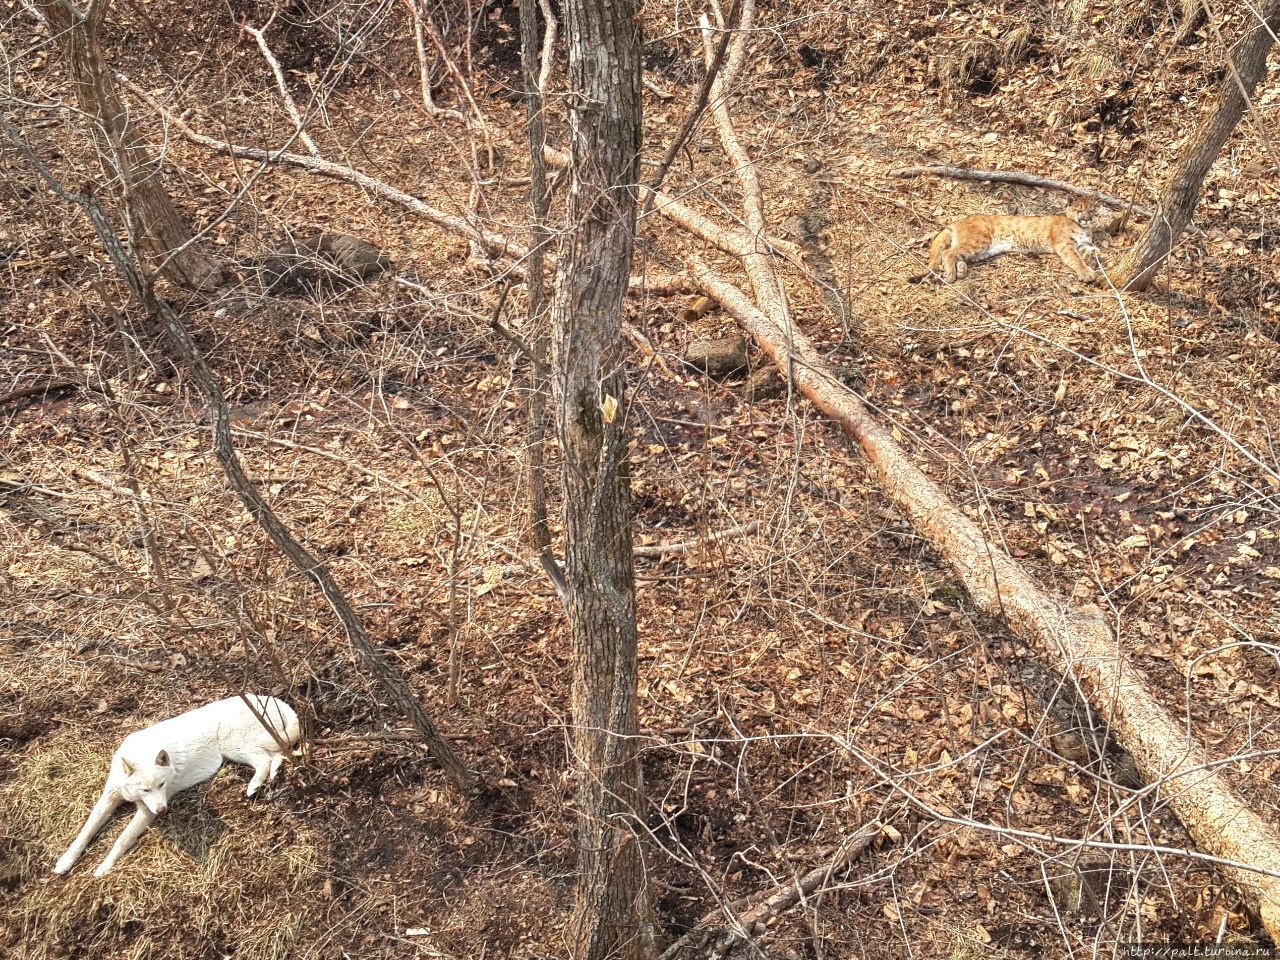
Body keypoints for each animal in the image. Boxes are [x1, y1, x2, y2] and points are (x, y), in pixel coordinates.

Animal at [52, 696, 299, 875]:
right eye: (145, 789)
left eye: (162, 784)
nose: (163, 810)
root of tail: (277, 701)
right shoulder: (109, 799)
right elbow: (85, 832)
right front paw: (65, 861)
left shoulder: (146, 812)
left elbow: (122, 839)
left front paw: (104, 867)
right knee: (277, 756)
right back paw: (272, 776)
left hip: (233, 745)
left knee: (265, 760)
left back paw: (254, 786)